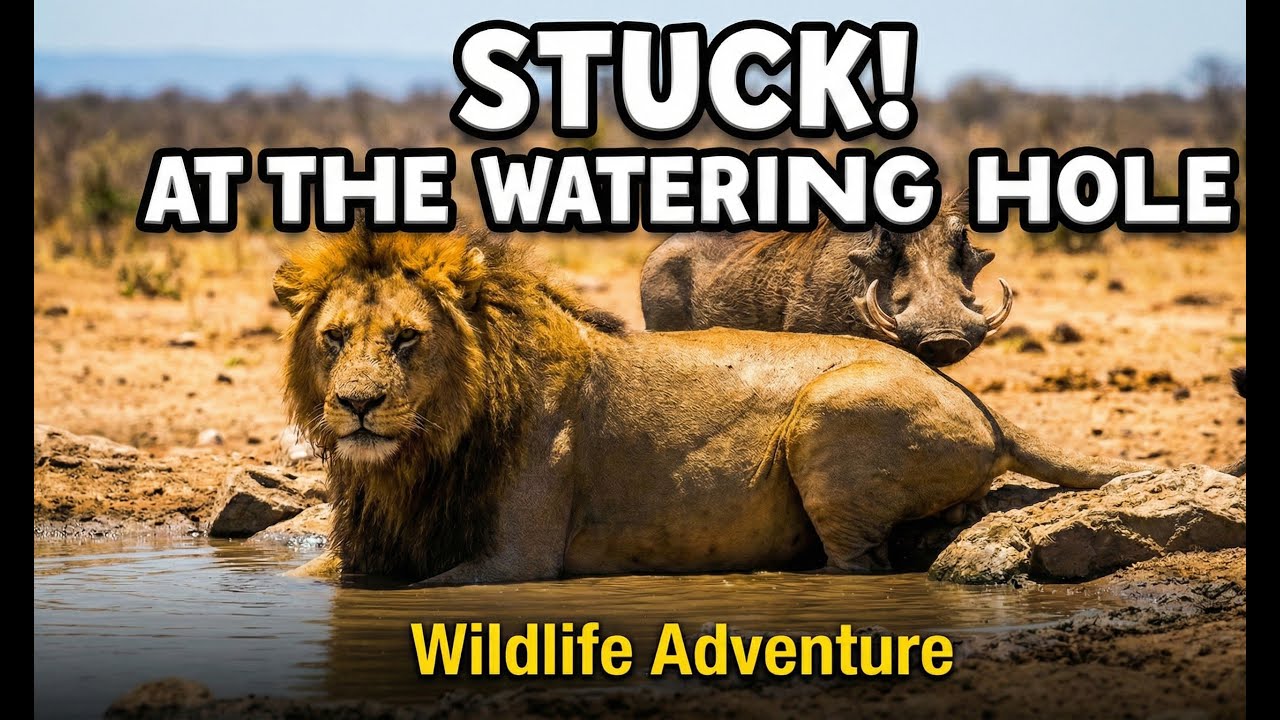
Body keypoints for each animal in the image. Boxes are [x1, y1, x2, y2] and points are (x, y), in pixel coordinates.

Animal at [276, 227, 1165, 584]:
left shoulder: (513, 562)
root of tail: (977, 400)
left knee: (856, 565)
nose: (356, 405)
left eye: (406, 340)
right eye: (335, 338)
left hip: (831, 412)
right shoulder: (362, 554)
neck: (418, 457)